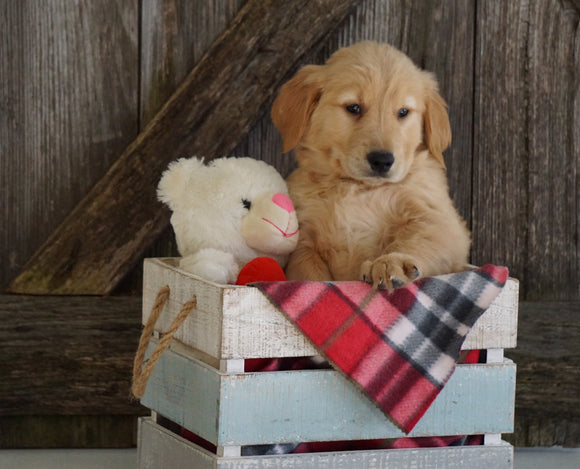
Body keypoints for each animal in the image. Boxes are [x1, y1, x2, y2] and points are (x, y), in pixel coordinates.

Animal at [272, 41, 472, 288]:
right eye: (354, 108)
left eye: (403, 112)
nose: (382, 160)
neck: (358, 187)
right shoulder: (304, 238)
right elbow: (310, 273)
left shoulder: (439, 219)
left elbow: (420, 239)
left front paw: (391, 263)